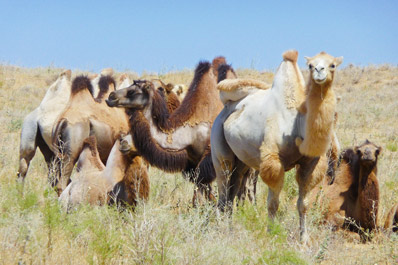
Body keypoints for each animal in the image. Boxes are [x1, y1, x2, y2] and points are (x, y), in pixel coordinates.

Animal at [211, 49, 342, 239]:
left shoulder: (311, 163)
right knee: (222, 191)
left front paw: (304, 239)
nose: (319, 71)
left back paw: (229, 229)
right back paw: (221, 231)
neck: (297, 123)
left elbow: (303, 203)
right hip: (220, 149)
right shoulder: (273, 161)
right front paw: (271, 234)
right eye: (310, 65)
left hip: (241, 161)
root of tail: (225, 108)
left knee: (231, 194)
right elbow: (273, 203)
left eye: (332, 64)